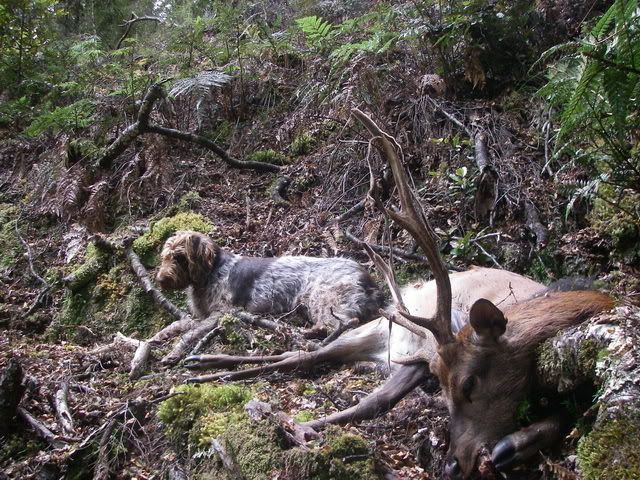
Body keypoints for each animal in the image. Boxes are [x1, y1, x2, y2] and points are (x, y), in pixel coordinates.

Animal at [155, 231, 384, 336]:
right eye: (165, 257)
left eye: (180, 257)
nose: (160, 279)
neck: (211, 273)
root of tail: (370, 282)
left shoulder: (221, 312)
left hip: (324, 297)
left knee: (344, 322)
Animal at [182, 109, 612, 480]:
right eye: (457, 385)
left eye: (469, 383)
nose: (453, 464)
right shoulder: (430, 356)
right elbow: (370, 400)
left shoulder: (425, 360)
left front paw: (515, 444)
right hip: (384, 333)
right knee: (306, 354)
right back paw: (205, 365)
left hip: (388, 347)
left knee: (305, 355)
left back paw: (209, 365)